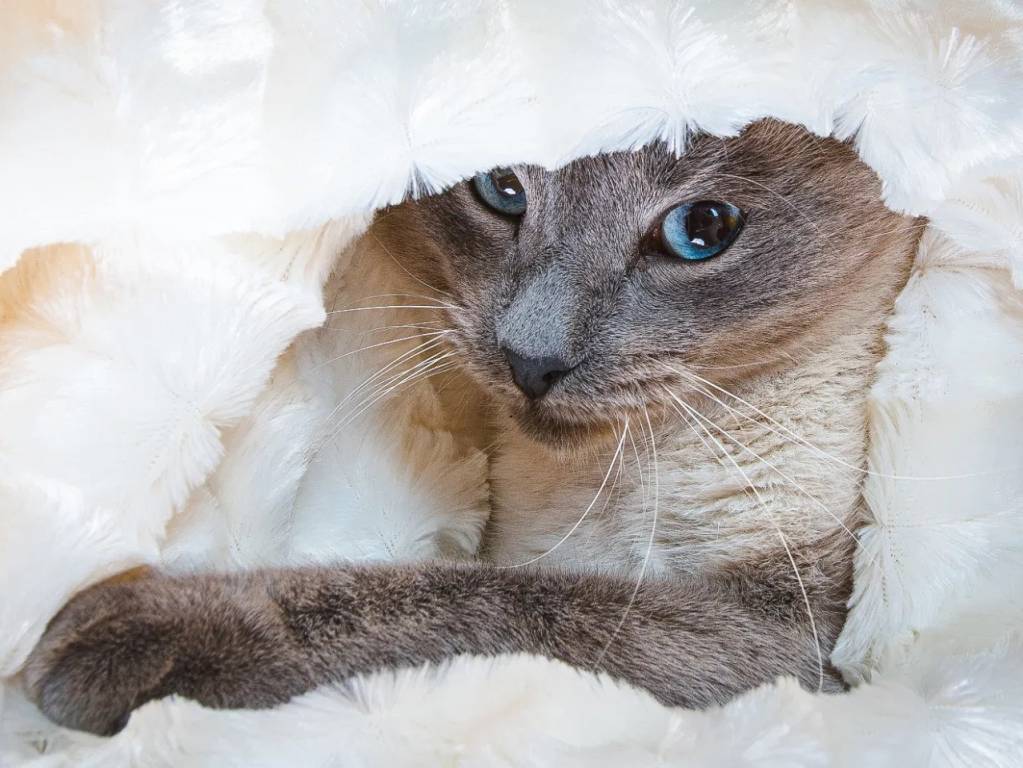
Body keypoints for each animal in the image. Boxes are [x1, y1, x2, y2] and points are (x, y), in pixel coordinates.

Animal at [23, 120, 920, 736]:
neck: (607, 483)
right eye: (501, 189)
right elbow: (478, 588)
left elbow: (482, 603)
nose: (530, 359)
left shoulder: (784, 634)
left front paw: (105, 639)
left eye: (700, 231)